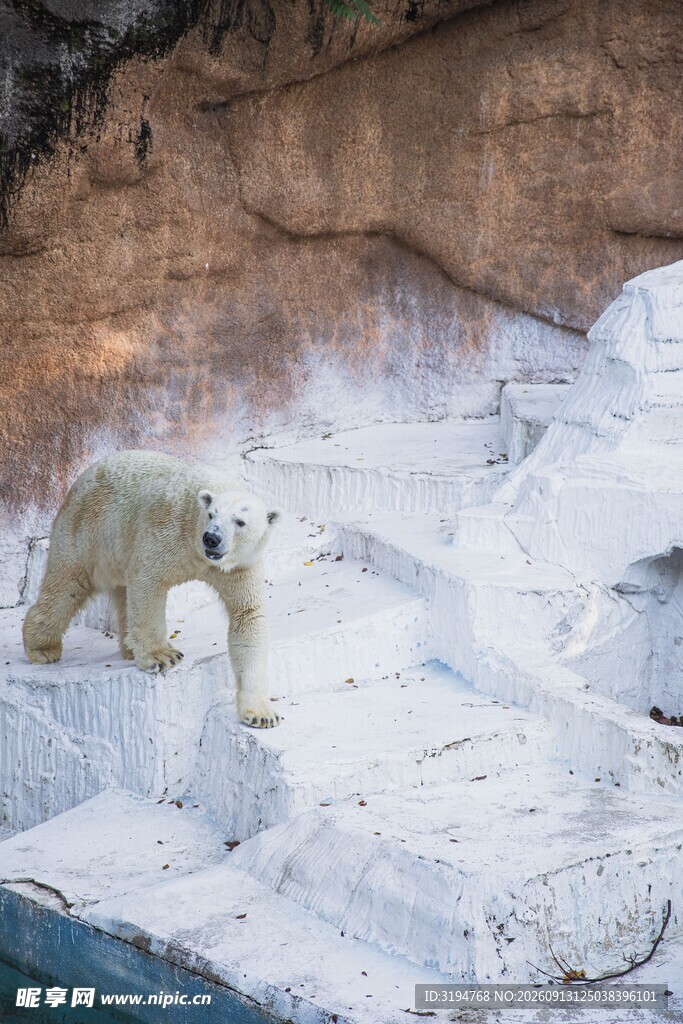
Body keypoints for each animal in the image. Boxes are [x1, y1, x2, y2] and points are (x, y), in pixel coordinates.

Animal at [22, 450, 283, 728]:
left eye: (240, 522)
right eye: (212, 515)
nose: (211, 538)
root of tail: (79, 481)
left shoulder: (241, 566)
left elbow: (248, 615)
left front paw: (262, 714)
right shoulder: (169, 530)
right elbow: (148, 580)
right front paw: (162, 656)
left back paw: (128, 647)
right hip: (89, 529)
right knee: (68, 585)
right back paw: (42, 649)